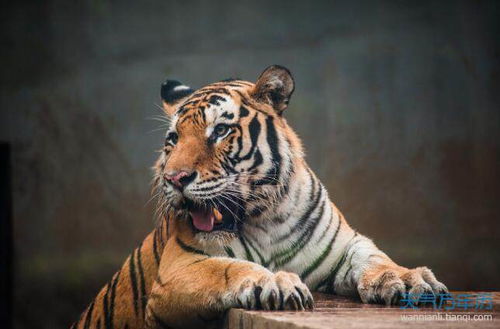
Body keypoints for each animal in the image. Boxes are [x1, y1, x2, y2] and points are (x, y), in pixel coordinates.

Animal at [73, 65, 450, 326]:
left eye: (219, 131)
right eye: (173, 139)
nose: (174, 179)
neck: (267, 218)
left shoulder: (345, 245)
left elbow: (375, 259)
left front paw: (409, 279)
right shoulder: (179, 266)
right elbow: (229, 267)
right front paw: (276, 282)